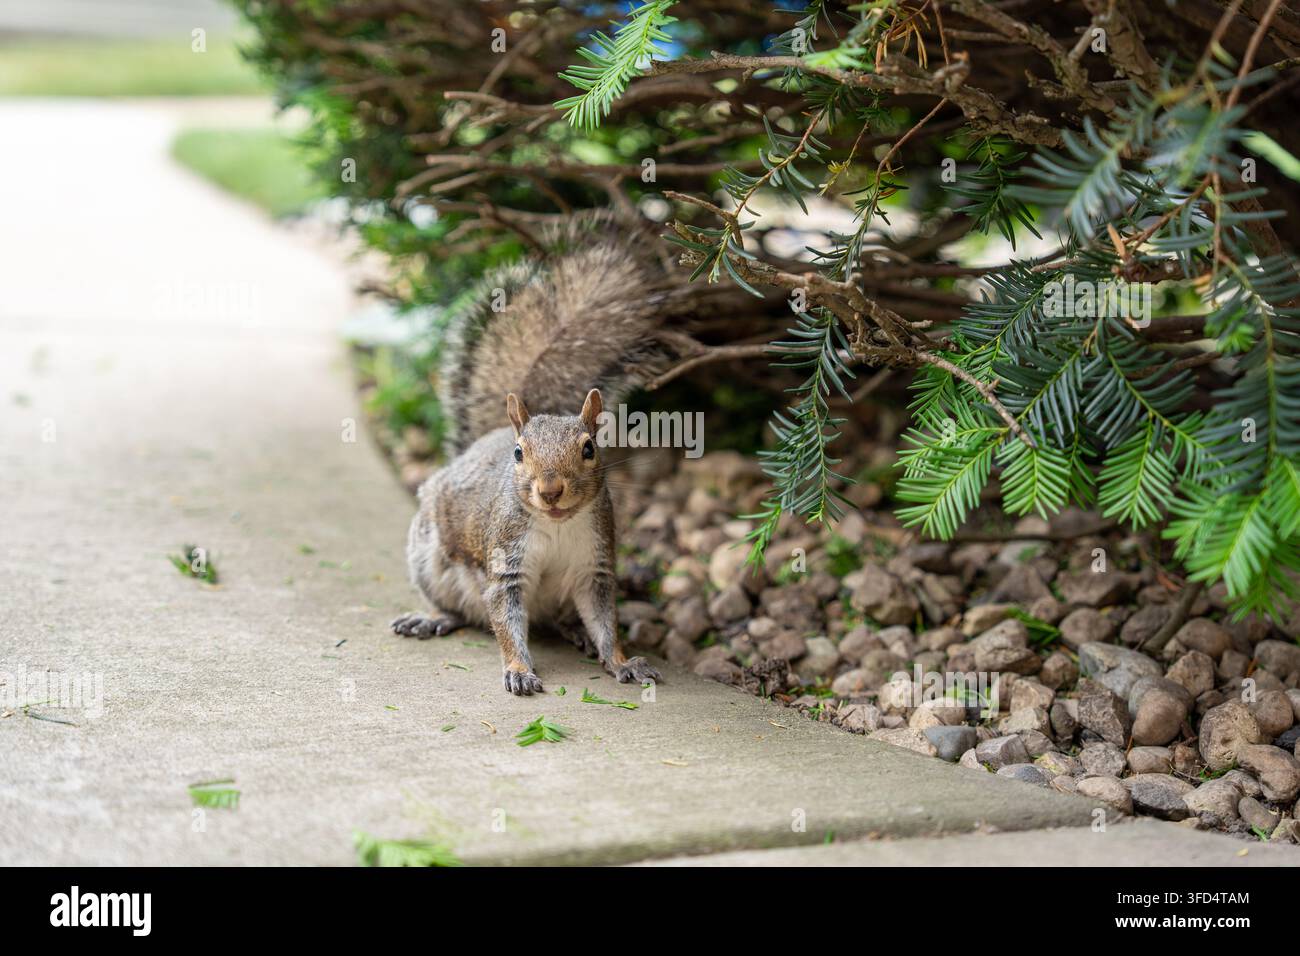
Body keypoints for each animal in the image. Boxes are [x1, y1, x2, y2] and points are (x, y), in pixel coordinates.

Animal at [392, 212, 670, 695]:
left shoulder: (594, 566)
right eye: (520, 454)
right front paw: (519, 669)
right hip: (429, 557)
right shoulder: (506, 565)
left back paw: (577, 633)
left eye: (590, 448)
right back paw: (432, 619)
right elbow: (505, 621)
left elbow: (606, 620)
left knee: (563, 620)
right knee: (458, 608)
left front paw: (621, 661)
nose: (551, 490)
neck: (556, 526)